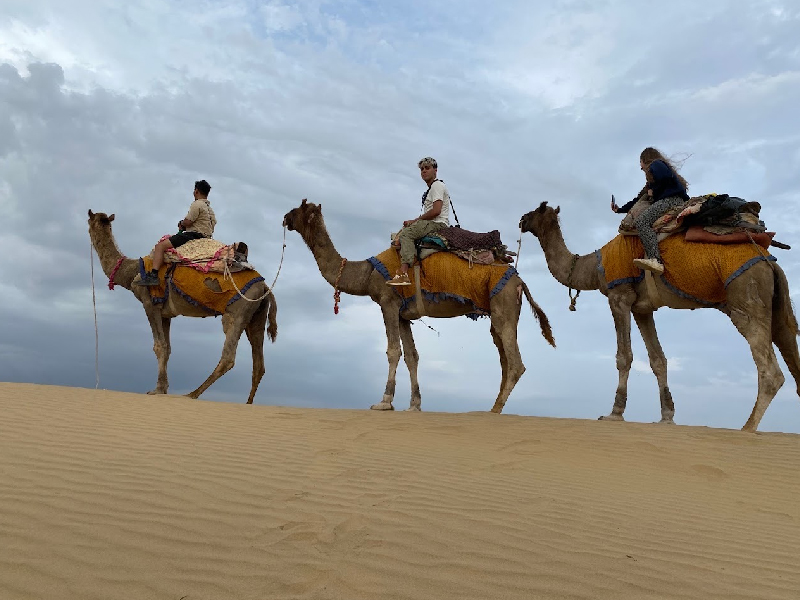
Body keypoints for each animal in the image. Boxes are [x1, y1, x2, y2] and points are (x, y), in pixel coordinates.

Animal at [88, 211, 278, 404]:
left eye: (89, 220)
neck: (132, 270)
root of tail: (265, 287)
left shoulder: (149, 303)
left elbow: (159, 346)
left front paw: (157, 390)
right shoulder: (165, 313)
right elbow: (168, 348)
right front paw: (163, 388)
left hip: (237, 312)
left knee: (228, 357)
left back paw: (192, 394)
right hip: (256, 316)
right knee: (259, 363)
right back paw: (248, 403)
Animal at [282, 200, 556, 412]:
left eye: (298, 209)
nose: (285, 218)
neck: (367, 273)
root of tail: (519, 280)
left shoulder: (388, 303)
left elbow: (393, 351)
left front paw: (384, 402)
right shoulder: (404, 314)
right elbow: (412, 356)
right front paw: (414, 405)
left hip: (503, 304)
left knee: (515, 363)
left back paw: (494, 410)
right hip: (502, 310)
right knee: (505, 359)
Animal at [520, 202, 800, 432]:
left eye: (536, 210)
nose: (521, 220)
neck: (594, 266)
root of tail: (769, 262)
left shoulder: (619, 296)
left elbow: (624, 356)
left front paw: (614, 413)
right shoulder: (642, 308)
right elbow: (658, 359)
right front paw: (667, 416)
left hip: (745, 297)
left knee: (770, 369)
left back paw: (747, 427)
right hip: (772, 302)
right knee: (787, 344)